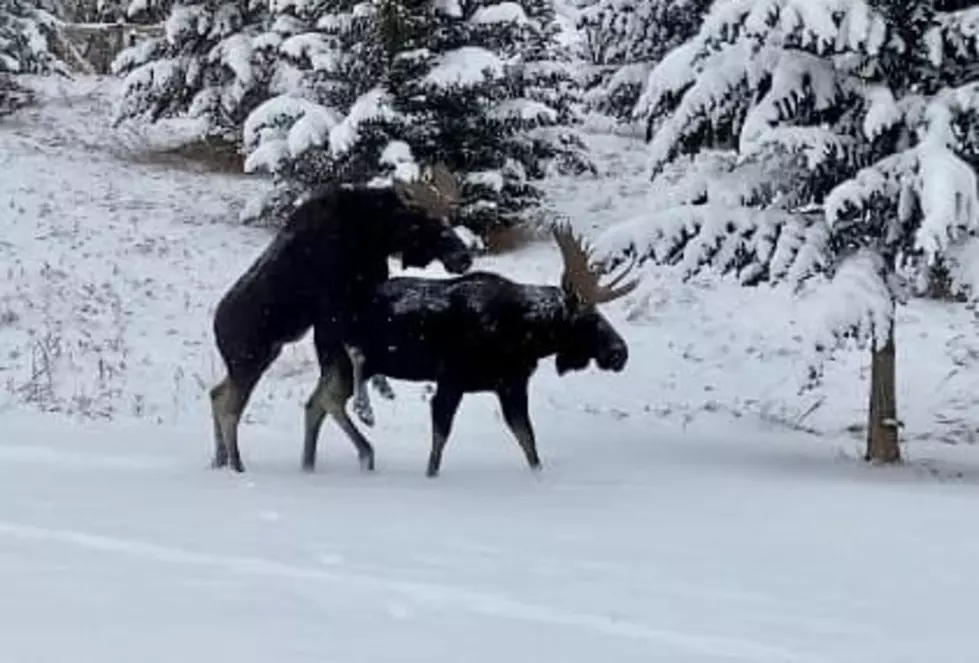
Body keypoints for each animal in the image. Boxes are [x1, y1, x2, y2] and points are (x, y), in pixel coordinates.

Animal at [209, 165, 476, 472]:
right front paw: (367, 407)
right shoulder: (336, 307)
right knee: (229, 409)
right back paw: (237, 464)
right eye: (425, 220)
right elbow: (356, 354)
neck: (377, 235)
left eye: (450, 218)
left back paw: (220, 459)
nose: (464, 257)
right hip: (250, 360)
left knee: (216, 394)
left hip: (259, 358)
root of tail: (216, 328)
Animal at [304, 223, 644, 478]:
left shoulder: (511, 385)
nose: (620, 352)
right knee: (330, 395)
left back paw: (314, 464)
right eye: (590, 319)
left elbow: (528, 442)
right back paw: (364, 438)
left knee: (315, 403)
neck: (525, 336)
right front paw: (430, 477)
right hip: (343, 360)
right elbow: (439, 444)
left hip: (337, 366)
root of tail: (317, 318)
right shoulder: (451, 380)